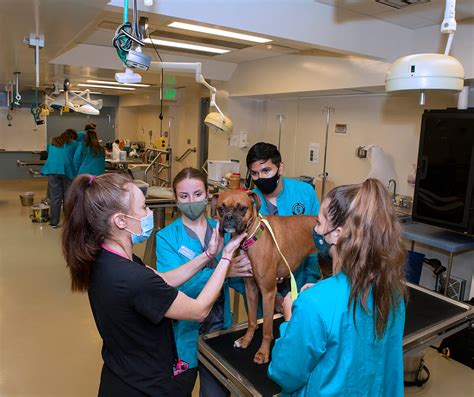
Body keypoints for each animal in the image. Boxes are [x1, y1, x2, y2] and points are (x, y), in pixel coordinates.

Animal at [212, 190, 318, 364]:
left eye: (242, 208)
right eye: (221, 208)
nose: (228, 217)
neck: (251, 237)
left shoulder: (268, 293)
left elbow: (267, 329)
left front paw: (263, 353)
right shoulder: (251, 289)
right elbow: (252, 320)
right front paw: (246, 340)